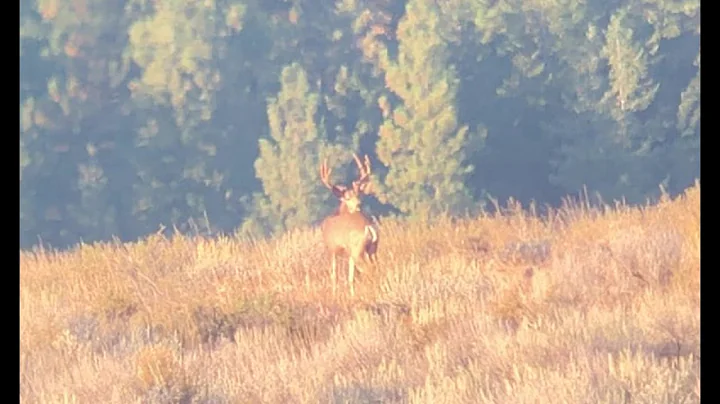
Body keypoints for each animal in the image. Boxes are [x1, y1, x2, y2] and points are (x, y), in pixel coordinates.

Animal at [319, 153, 379, 296]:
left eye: (358, 195)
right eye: (348, 198)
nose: (359, 204)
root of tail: (368, 226)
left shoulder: (332, 248)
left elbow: (334, 275)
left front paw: (334, 294)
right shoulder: (348, 253)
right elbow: (350, 277)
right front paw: (352, 295)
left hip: (357, 249)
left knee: (368, 269)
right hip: (372, 249)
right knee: (375, 267)